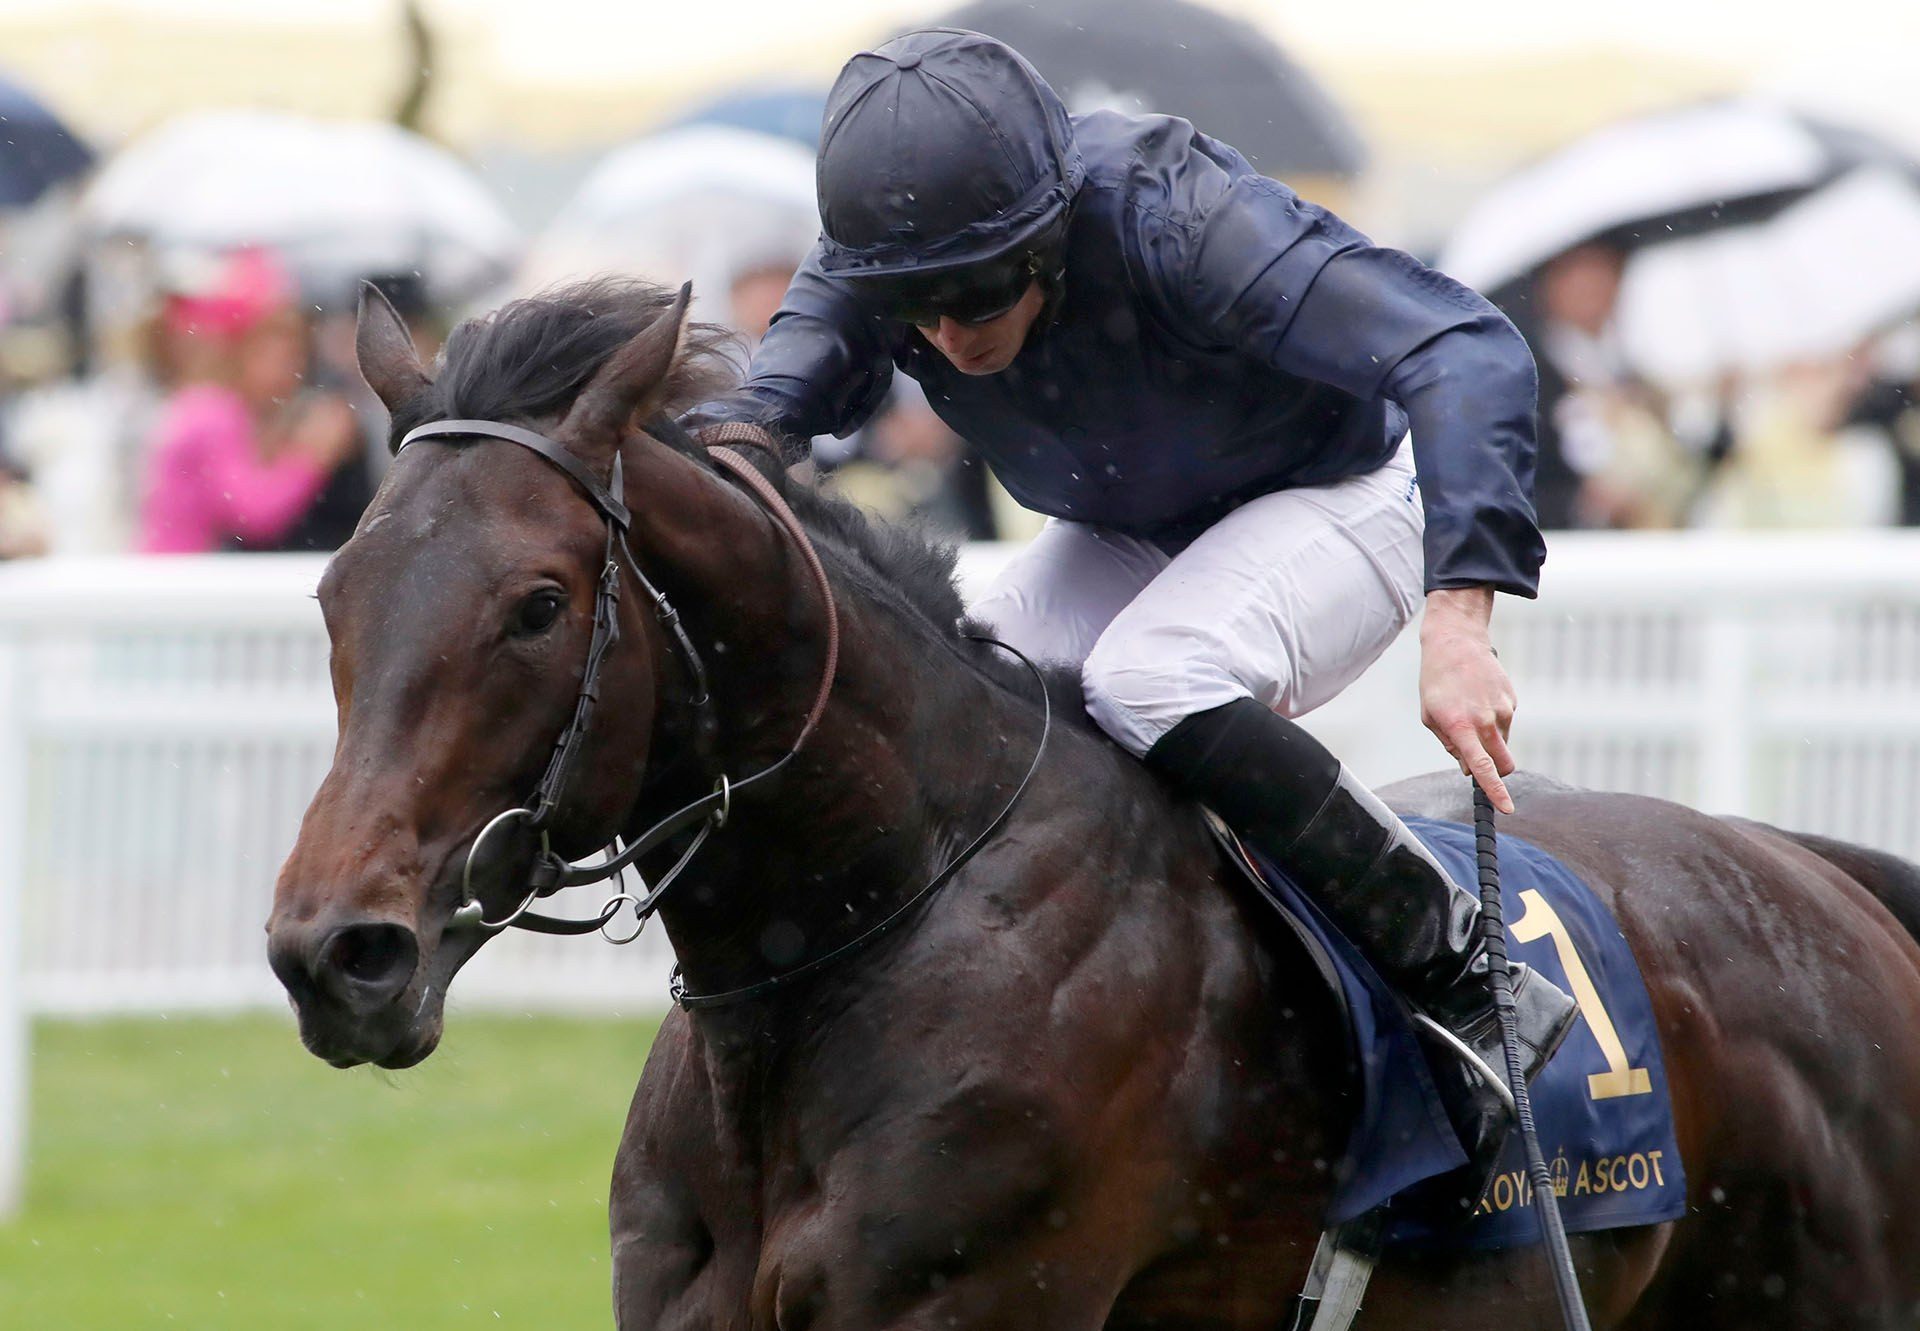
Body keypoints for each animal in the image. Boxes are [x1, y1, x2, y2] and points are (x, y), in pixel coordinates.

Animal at [266, 278, 1920, 1321]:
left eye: (538, 605)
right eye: (334, 591)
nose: (335, 952)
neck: (884, 922)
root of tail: (1807, 869)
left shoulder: (978, 1292)